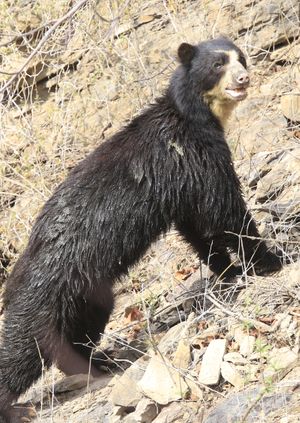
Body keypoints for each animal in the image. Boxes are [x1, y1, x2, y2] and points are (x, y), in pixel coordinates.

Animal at [0, 37, 282, 423]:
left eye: (241, 58)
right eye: (218, 65)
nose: (243, 79)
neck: (198, 114)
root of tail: (14, 282)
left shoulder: (183, 180)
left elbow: (196, 226)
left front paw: (225, 272)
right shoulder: (194, 155)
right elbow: (223, 207)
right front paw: (269, 260)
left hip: (87, 296)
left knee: (73, 338)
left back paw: (99, 363)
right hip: (52, 296)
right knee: (22, 350)